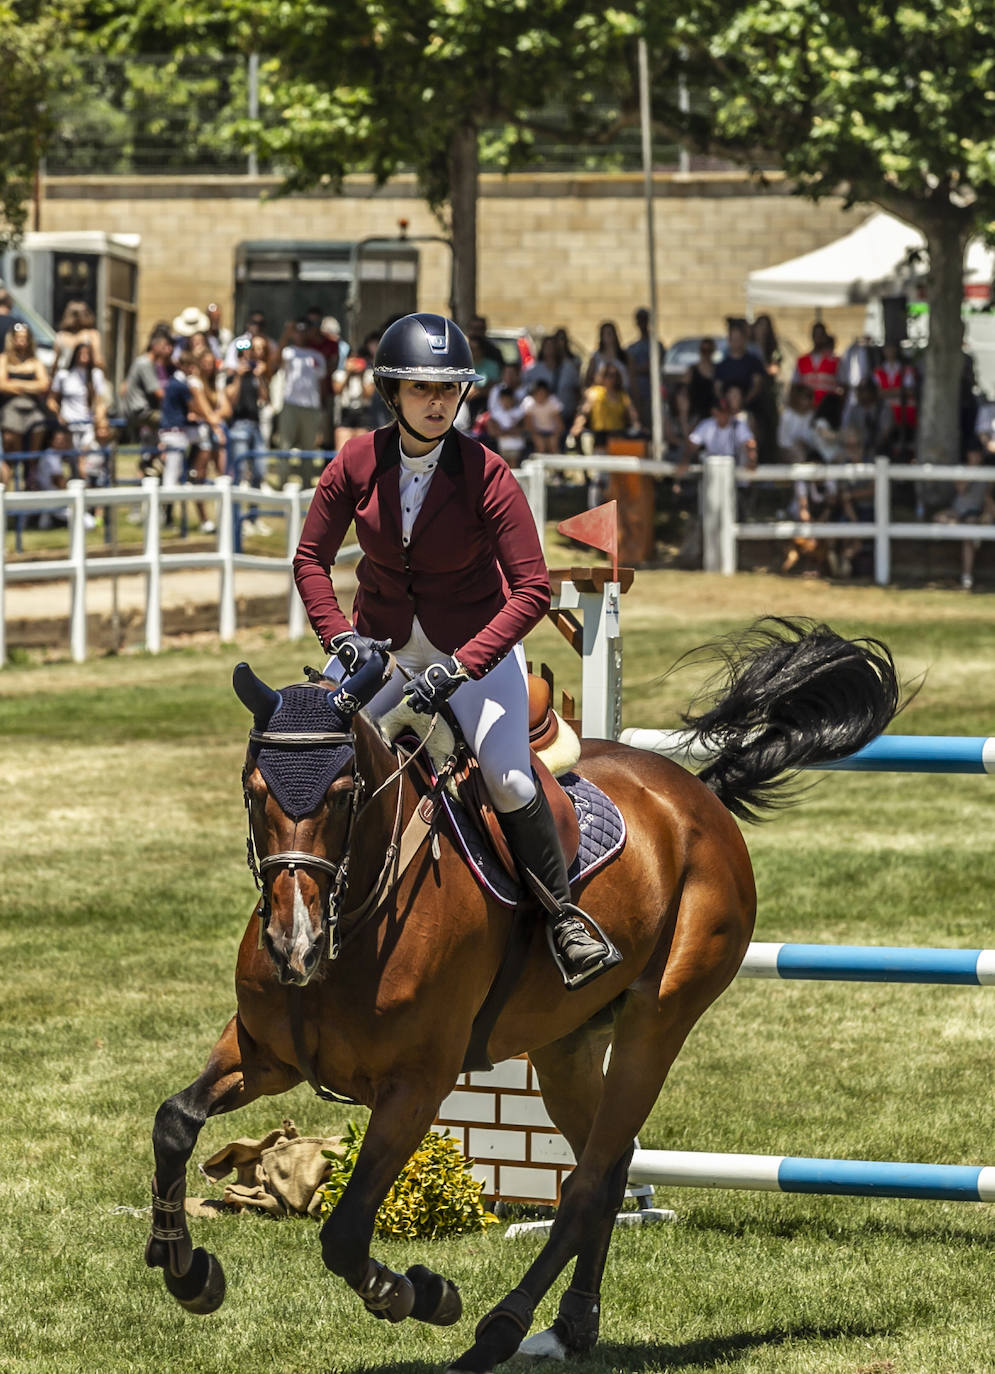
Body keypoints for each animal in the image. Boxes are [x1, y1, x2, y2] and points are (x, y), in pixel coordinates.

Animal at [147, 618, 901, 1368]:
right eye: (253, 790)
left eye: (341, 792)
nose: (292, 946)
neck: (353, 919)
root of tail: (697, 794)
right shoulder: (264, 1055)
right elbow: (175, 1121)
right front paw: (186, 1270)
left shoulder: (416, 1086)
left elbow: (346, 1232)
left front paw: (420, 1294)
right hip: (566, 1045)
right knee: (607, 1167)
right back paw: (571, 1325)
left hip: (657, 1020)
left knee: (588, 1183)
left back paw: (500, 1330)